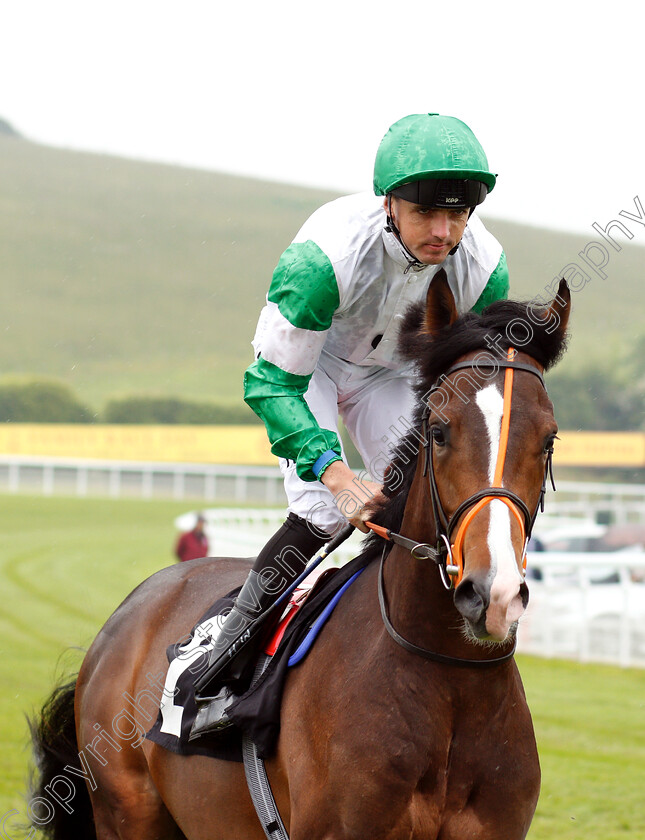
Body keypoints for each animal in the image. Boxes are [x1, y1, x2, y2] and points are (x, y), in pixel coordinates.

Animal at [30, 278, 572, 840]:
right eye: (440, 430)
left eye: (549, 439)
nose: (493, 593)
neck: (451, 685)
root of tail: (127, 611)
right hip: (125, 812)